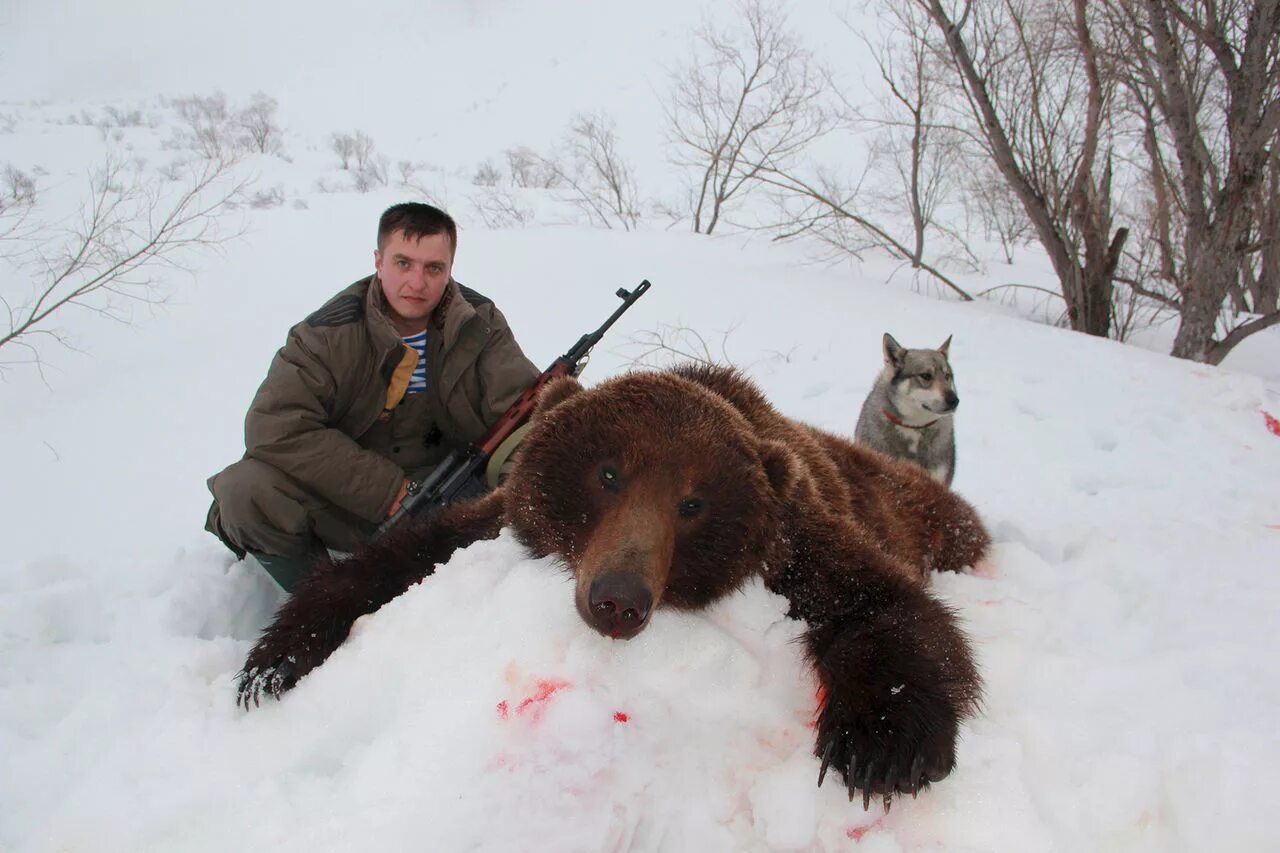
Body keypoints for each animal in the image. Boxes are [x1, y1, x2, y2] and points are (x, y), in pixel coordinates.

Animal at [240, 361, 988, 809]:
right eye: (608, 472)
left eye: (693, 503)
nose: (619, 598)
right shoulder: (494, 518)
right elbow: (389, 560)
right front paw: (273, 662)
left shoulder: (796, 547)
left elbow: (887, 605)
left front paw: (881, 743)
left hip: (926, 513)